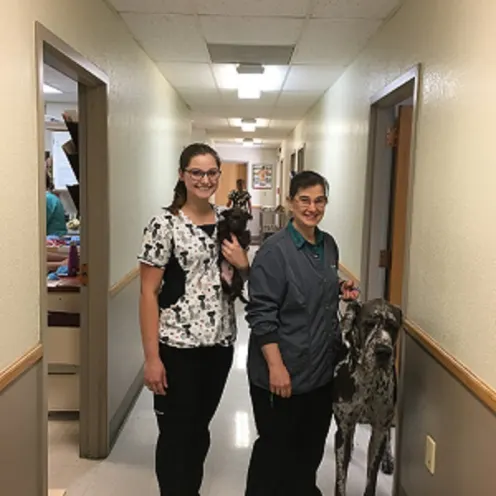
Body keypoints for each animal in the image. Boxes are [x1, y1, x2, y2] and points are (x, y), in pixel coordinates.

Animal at [334, 298, 404, 496]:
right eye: (369, 324)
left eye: (393, 326)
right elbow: (340, 480)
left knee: (388, 434)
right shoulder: (343, 429)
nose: (383, 351)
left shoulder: (379, 427)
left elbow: (371, 479)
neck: (368, 379)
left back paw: (388, 459)